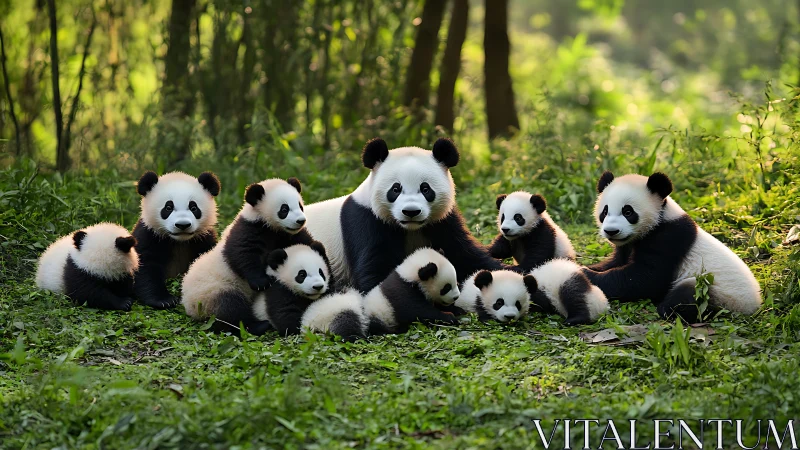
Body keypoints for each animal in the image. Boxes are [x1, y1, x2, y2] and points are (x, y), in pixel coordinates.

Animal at [133, 171, 221, 309]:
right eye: (168, 207)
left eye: (194, 208)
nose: (182, 225)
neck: (179, 241)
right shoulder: (149, 234)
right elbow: (145, 265)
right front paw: (164, 300)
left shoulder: (203, 238)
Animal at [182, 178, 318, 335]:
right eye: (284, 209)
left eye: (300, 205)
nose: (301, 221)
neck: (268, 225)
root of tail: (189, 306)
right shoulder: (248, 229)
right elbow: (243, 254)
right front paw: (261, 282)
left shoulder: (287, 234)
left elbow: (303, 241)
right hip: (213, 290)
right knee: (231, 308)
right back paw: (258, 326)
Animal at [304, 137, 502, 293]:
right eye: (395, 189)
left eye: (425, 189)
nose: (411, 212)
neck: (410, 229)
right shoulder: (366, 221)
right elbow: (376, 270)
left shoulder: (441, 222)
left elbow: (465, 255)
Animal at [582, 171, 761, 322]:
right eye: (605, 212)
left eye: (628, 212)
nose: (611, 231)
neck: (660, 218)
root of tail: (755, 305)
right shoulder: (627, 244)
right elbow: (617, 262)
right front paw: (587, 267)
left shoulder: (670, 237)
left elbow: (646, 278)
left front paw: (587, 275)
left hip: (721, 293)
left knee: (691, 296)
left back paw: (670, 308)